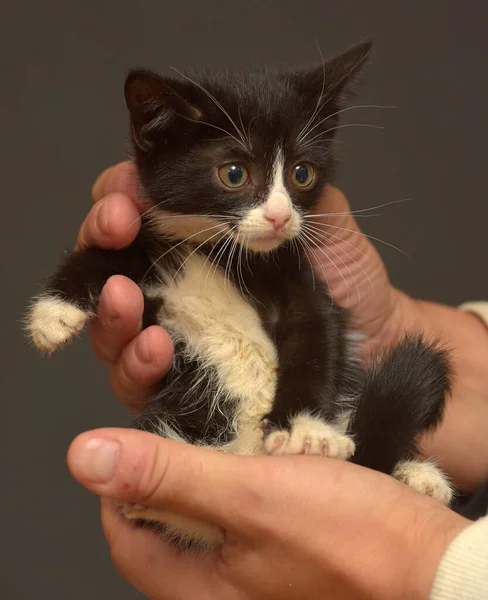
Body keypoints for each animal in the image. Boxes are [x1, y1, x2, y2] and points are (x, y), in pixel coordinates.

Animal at [25, 39, 454, 552]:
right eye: (234, 173)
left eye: (302, 173)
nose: (279, 216)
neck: (224, 256)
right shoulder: (155, 269)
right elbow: (112, 255)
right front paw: (53, 313)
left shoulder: (305, 286)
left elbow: (316, 341)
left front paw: (305, 428)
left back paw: (418, 475)